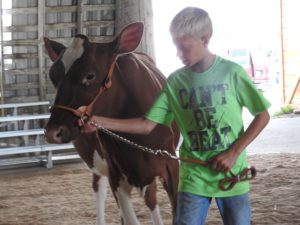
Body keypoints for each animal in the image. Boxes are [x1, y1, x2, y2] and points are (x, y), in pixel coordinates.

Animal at [43, 21, 179, 225]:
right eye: (53, 76)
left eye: (90, 75)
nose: (53, 132)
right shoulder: (116, 174)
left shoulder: (171, 166)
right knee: (100, 190)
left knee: (151, 200)